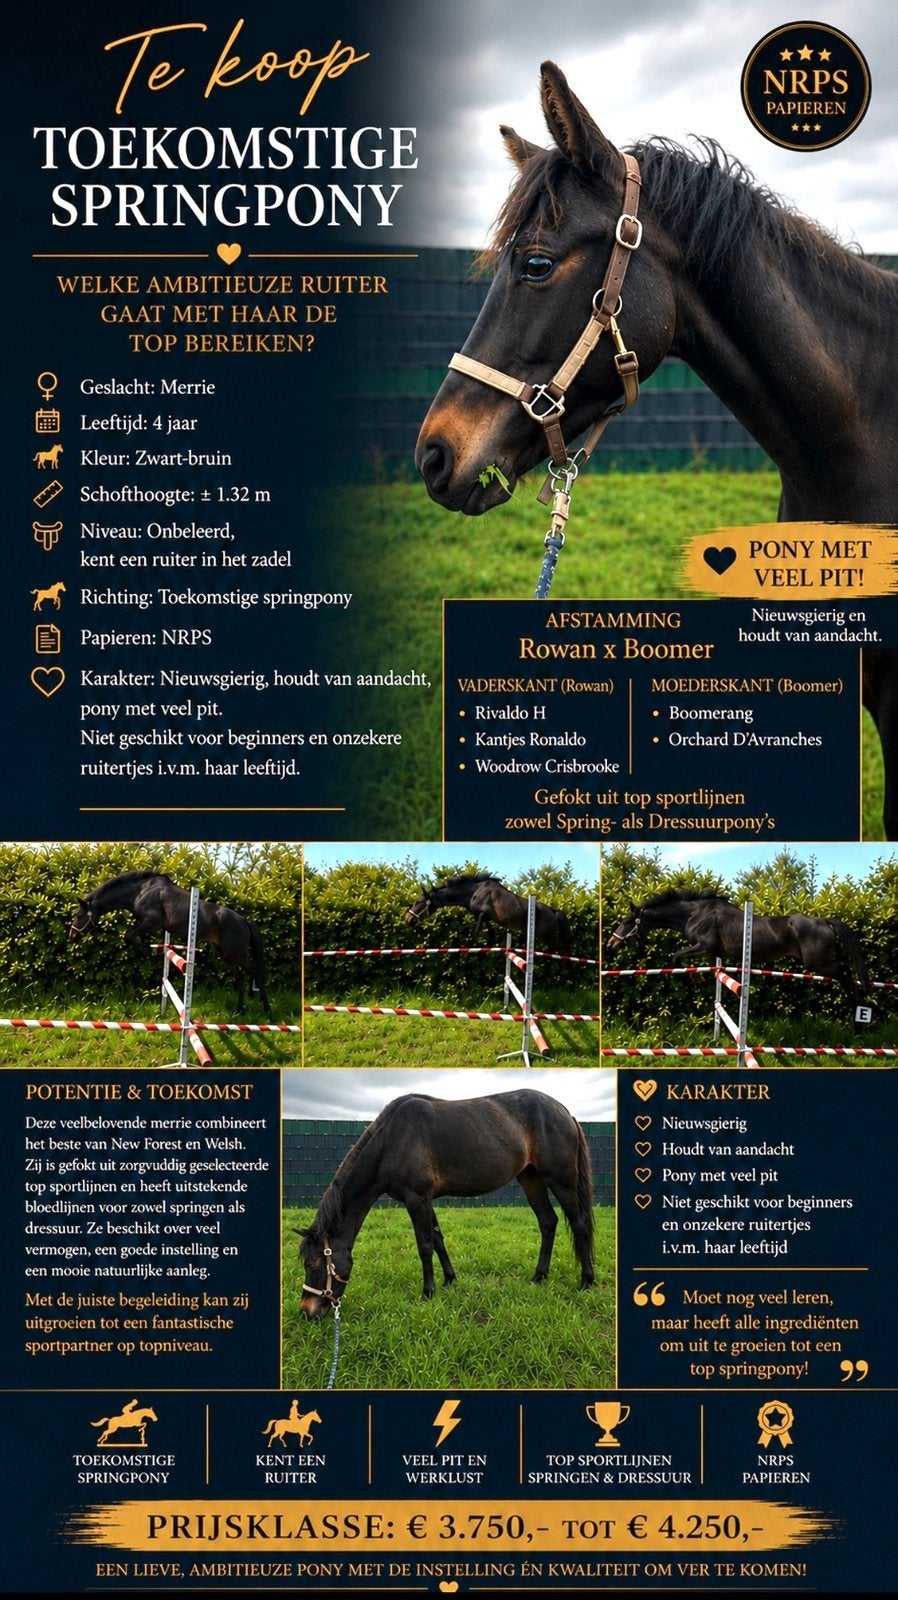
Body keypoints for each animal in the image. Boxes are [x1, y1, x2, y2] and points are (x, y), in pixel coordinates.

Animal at [68, 869, 271, 1015]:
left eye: (79, 916)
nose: (72, 936)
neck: (140, 891)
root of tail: (244, 920)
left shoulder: (152, 921)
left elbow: (128, 935)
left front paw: (144, 950)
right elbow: (130, 935)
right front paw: (144, 947)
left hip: (236, 954)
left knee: (255, 972)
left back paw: (267, 1011)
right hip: (225, 955)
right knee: (240, 977)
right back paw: (240, 1010)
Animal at [299, 1088, 595, 1316]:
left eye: (312, 1264)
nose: (306, 1311)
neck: (391, 1140)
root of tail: (564, 1111)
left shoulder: (416, 1198)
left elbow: (424, 1246)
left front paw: (427, 1292)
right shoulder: (426, 1199)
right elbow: (438, 1240)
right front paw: (450, 1280)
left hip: (561, 1180)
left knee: (579, 1225)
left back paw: (586, 1282)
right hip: (532, 1179)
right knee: (548, 1222)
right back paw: (539, 1276)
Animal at [405, 873, 571, 953]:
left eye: (418, 902)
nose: (408, 919)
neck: (473, 892)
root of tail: (554, 911)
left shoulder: (482, 913)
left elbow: (477, 932)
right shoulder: (486, 917)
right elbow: (488, 932)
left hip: (545, 936)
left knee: (557, 950)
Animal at [606, 889, 870, 998]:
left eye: (628, 921)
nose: (610, 944)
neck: (694, 913)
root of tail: (824, 920)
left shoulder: (704, 946)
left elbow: (677, 956)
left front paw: (696, 980)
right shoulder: (715, 953)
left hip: (818, 964)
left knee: (848, 978)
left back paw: (860, 1013)